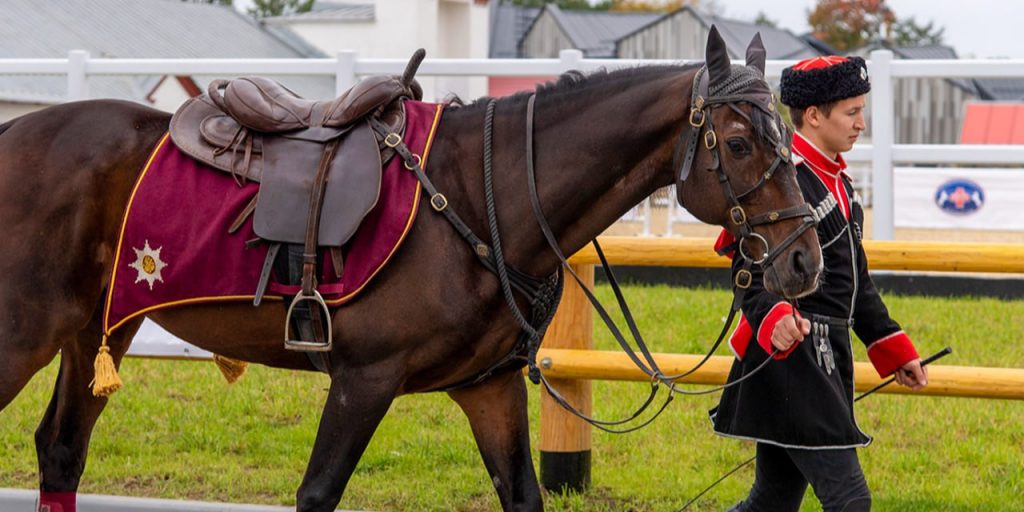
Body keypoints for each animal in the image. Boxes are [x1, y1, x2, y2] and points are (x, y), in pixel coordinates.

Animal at [0, 29, 815, 512]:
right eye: (739, 143)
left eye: (785, 137)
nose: (806, 256)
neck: (483, 195)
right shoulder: (363, 380)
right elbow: (317, 493)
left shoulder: (488, 390)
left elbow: (522, 494)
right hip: (26, 335)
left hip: (97, 331)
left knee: (62, 453)